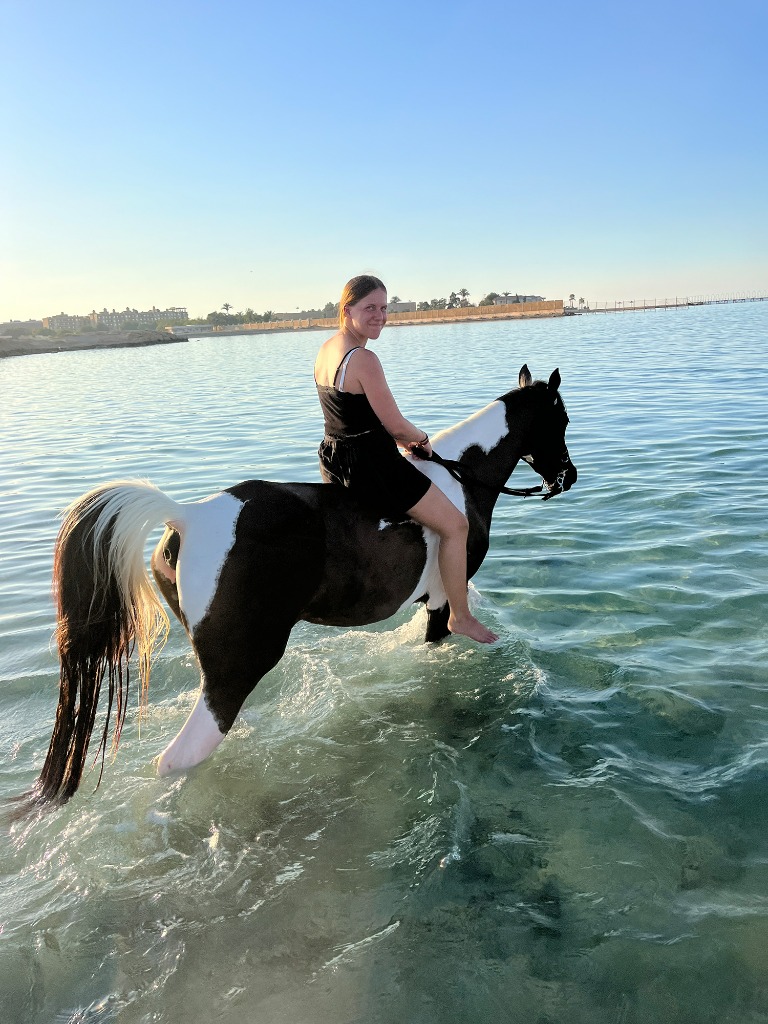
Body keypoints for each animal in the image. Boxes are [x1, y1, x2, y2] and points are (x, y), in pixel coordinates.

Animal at [24, 365, 576, 811]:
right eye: (563, 421)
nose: (567, 477)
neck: (461, 477)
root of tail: (189, 516)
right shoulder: (444, 603)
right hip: (237, 668)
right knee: (179, 758)